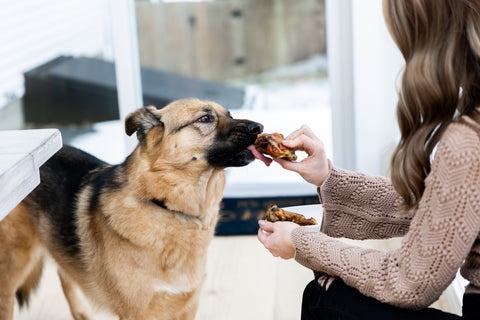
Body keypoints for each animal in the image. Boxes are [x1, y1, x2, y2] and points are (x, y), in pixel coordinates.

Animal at [0, 99, 262, 318]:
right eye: (205, 118)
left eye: (229, 114)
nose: (259, 127)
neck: (165, 206)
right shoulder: (137, 313)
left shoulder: (187, 307)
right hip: (12, 270)